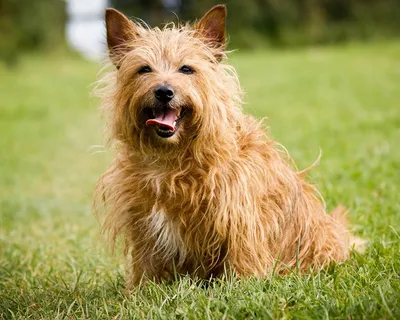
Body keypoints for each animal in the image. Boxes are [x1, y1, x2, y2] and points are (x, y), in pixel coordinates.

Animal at [94, 3, 360, 288]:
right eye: (144, 69)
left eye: (186, 69)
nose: (164, 91)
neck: (172, 156)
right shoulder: (143, 221)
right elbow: (146, 262)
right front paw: (141, 290)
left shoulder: (240, 214)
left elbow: (243, 255)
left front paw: (243, 286)